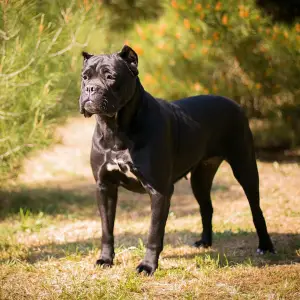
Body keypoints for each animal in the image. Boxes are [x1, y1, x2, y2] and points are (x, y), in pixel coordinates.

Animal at [79, 45, 274, 274]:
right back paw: (205, 242)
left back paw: (265, 246)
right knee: (206, 207)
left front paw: (147, 266)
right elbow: (106, 228)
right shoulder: (105, 187)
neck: (116, 129)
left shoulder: (159, 191)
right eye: (85, 77)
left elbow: (154, 233)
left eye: (110, 76)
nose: (90, 89)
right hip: (201, 177)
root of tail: (234, 103)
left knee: (256, 209)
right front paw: (105, 259)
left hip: (245, 167)